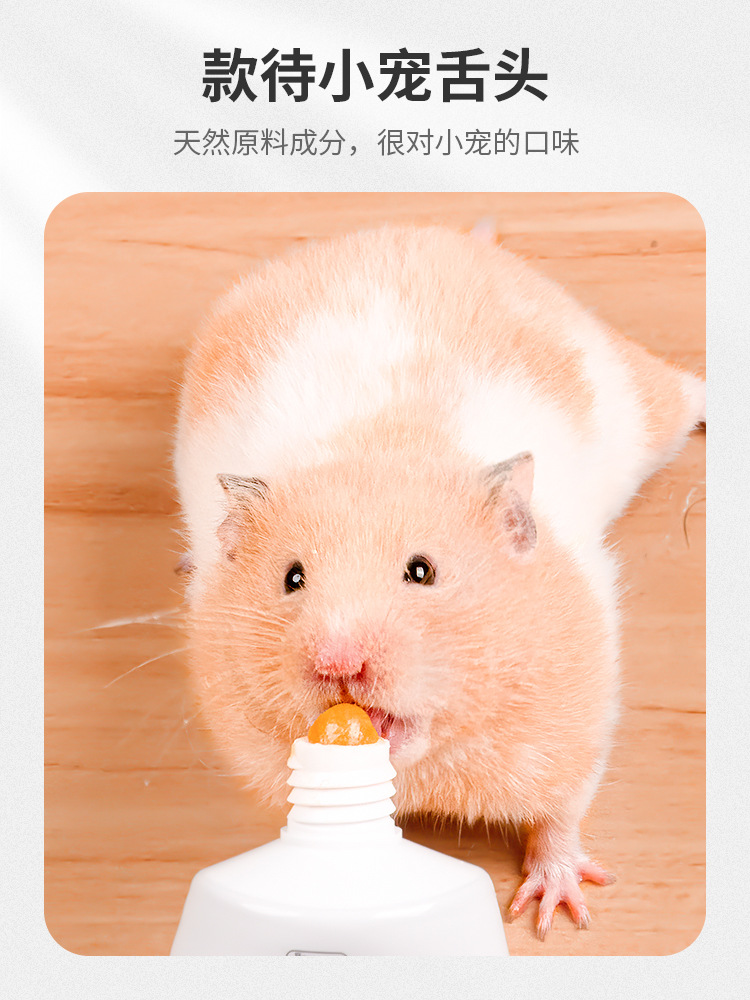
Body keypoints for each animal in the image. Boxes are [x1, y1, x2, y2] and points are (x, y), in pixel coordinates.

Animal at [174, 225, 705, 938]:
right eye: (291, 578)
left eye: (422, 572)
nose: (338, 662)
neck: (430, 759)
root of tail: (449, 235)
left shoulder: (576, 725)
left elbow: (561, 813)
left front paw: (553, 915)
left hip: (636, 395)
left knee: (684, 388)